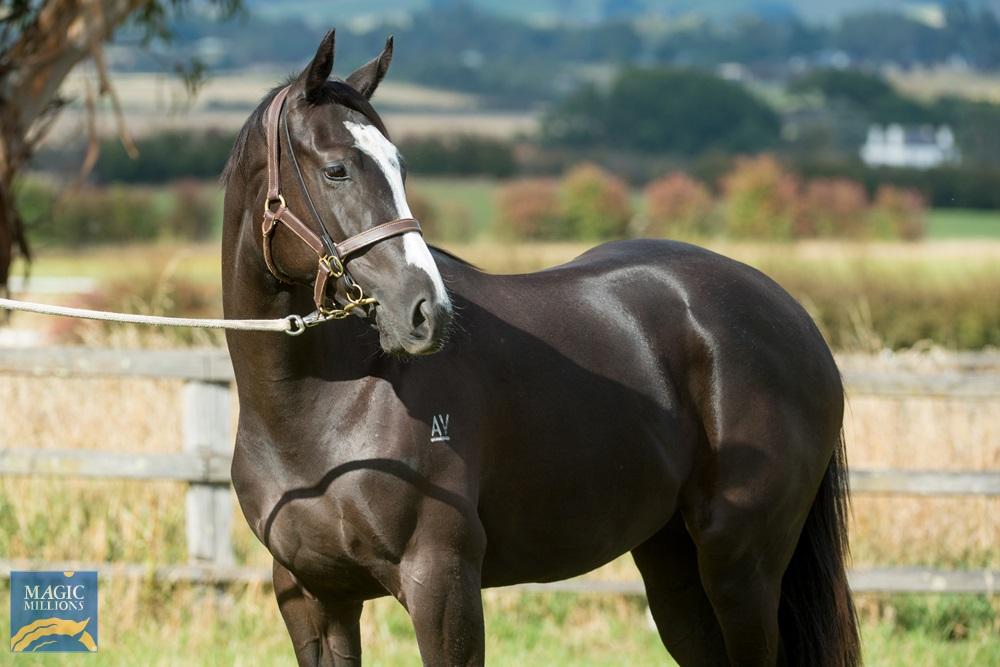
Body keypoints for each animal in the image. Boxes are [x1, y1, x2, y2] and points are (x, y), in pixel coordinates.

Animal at [221, 30, 860, 667]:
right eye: (336, 170)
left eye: (398, 165)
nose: (427, 311)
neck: (320, 410)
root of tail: (794, 318)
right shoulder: (313, 596)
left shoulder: (441, 585)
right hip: (674, 565)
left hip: (740, 569)